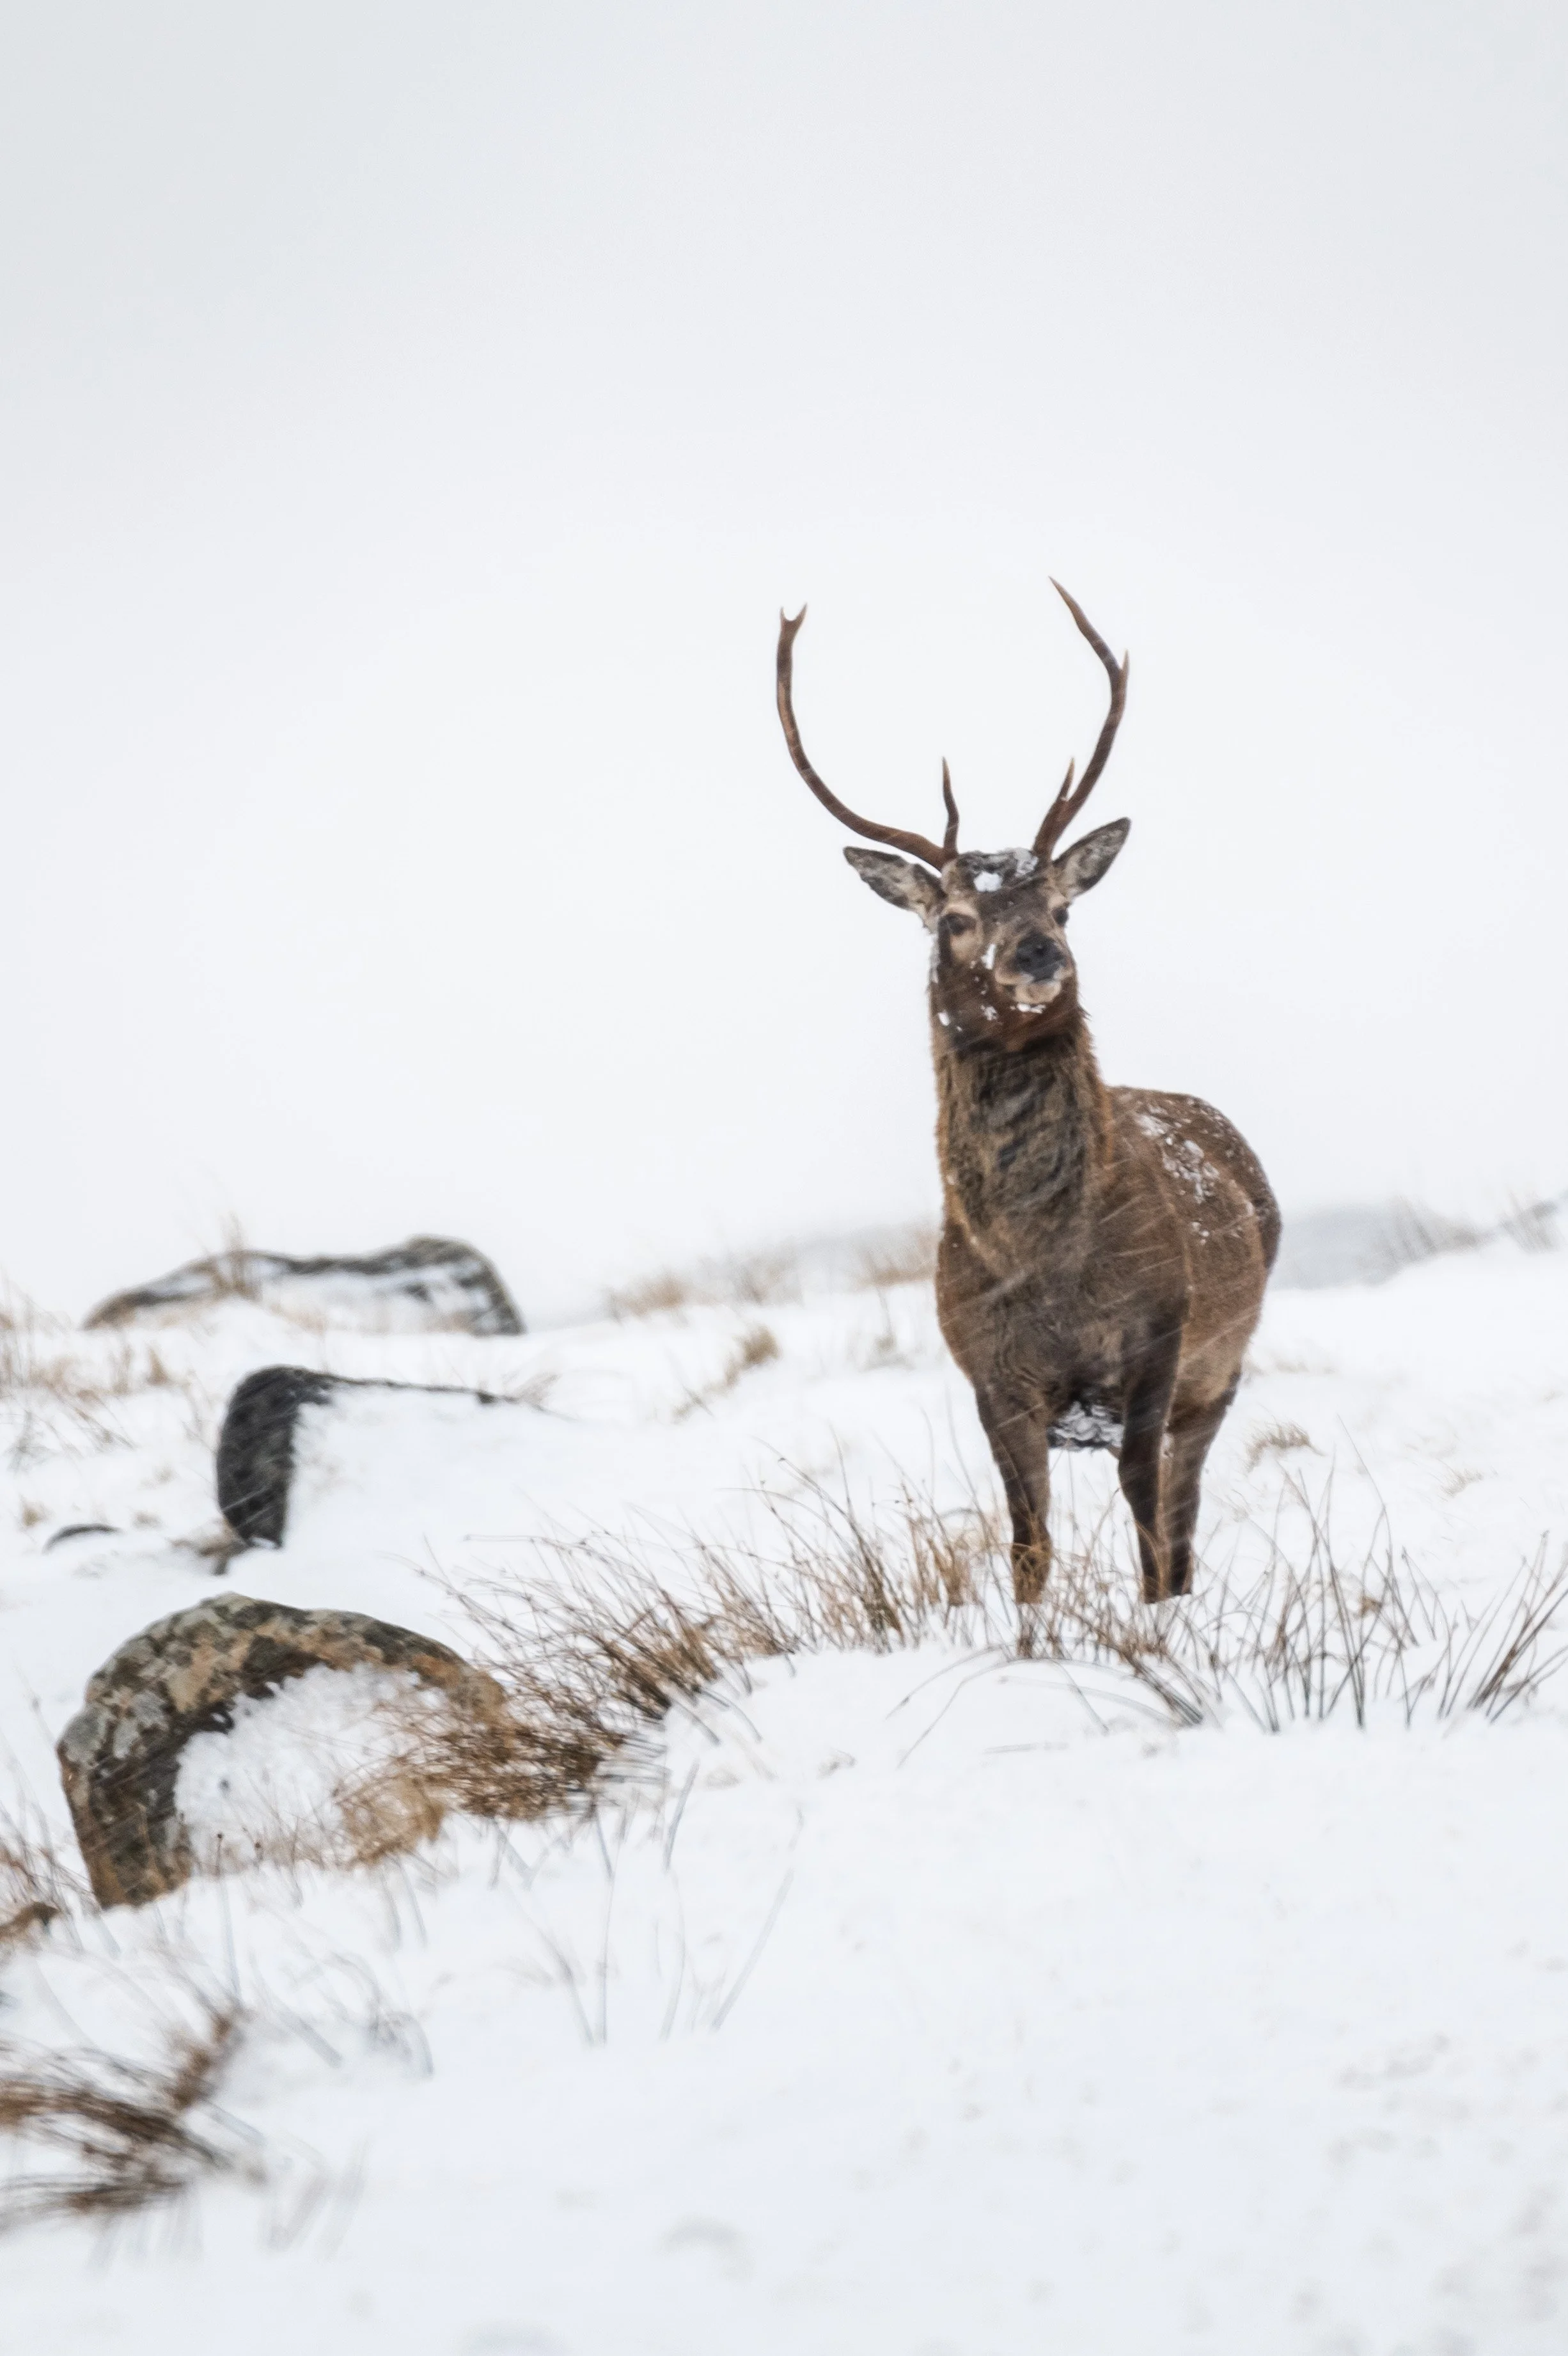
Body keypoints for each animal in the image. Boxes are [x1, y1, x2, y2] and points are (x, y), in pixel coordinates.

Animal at [776, 584, 1279, 1606]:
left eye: (1062, 905)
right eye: (956, 918)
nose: (1041, 953)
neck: (1043, 1267)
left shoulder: (1158, 1343)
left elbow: (1146, 1531)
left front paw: (1155, 1628)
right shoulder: (986, 1376)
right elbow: (1027, 1546)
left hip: (1223, 1373)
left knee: (1182, 1521)